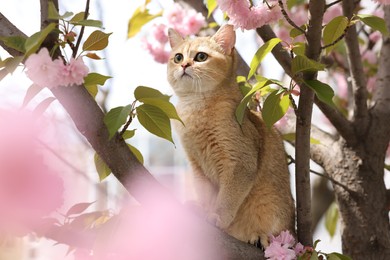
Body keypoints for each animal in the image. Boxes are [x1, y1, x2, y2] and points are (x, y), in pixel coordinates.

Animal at [166, 24, 294, 248]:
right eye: (178, 57)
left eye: (200, 56)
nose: (184, 65)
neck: (195, 108)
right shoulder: (197, 166)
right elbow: (205, 196)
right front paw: (202, 210)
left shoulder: (240, 163)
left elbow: (227, 199)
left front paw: (217, 216)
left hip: (274, 206)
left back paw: (260, 236)